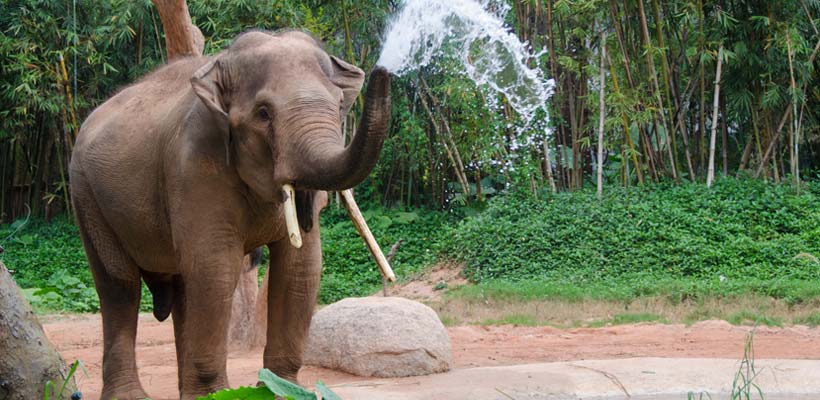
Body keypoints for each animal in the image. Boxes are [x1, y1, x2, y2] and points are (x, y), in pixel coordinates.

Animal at [68, 30, 391, 399]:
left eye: (339, 106)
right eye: (263, 113)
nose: (384, 70)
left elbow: (300, 269)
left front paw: (281, 388)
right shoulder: (194, 165)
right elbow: (215, 268)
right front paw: (217, 394)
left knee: (181, 288)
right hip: (86, 196)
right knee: (120, 286)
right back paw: (133, 395)